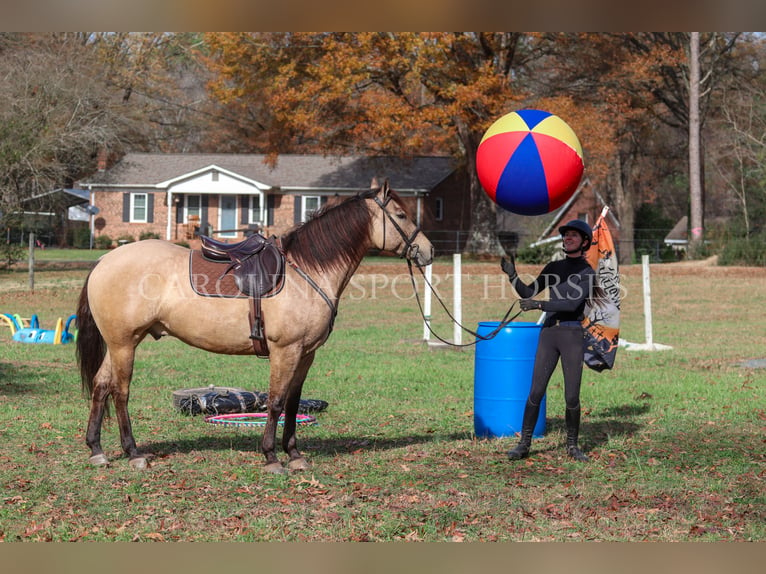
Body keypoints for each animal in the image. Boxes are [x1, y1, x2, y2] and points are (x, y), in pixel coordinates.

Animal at [75, 182, 436, 474]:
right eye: (401, 215)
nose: (429, 251)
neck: (307, 271)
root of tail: (105, 261)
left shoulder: (305, 354)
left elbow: (293, 402)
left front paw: (294, 455)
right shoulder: (285, 351)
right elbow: (275, 401)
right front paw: (272, 457)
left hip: (118, 344)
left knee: (101, 386)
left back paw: (97, 450)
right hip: (124, 343)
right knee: (120, 392)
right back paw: (133, 453)